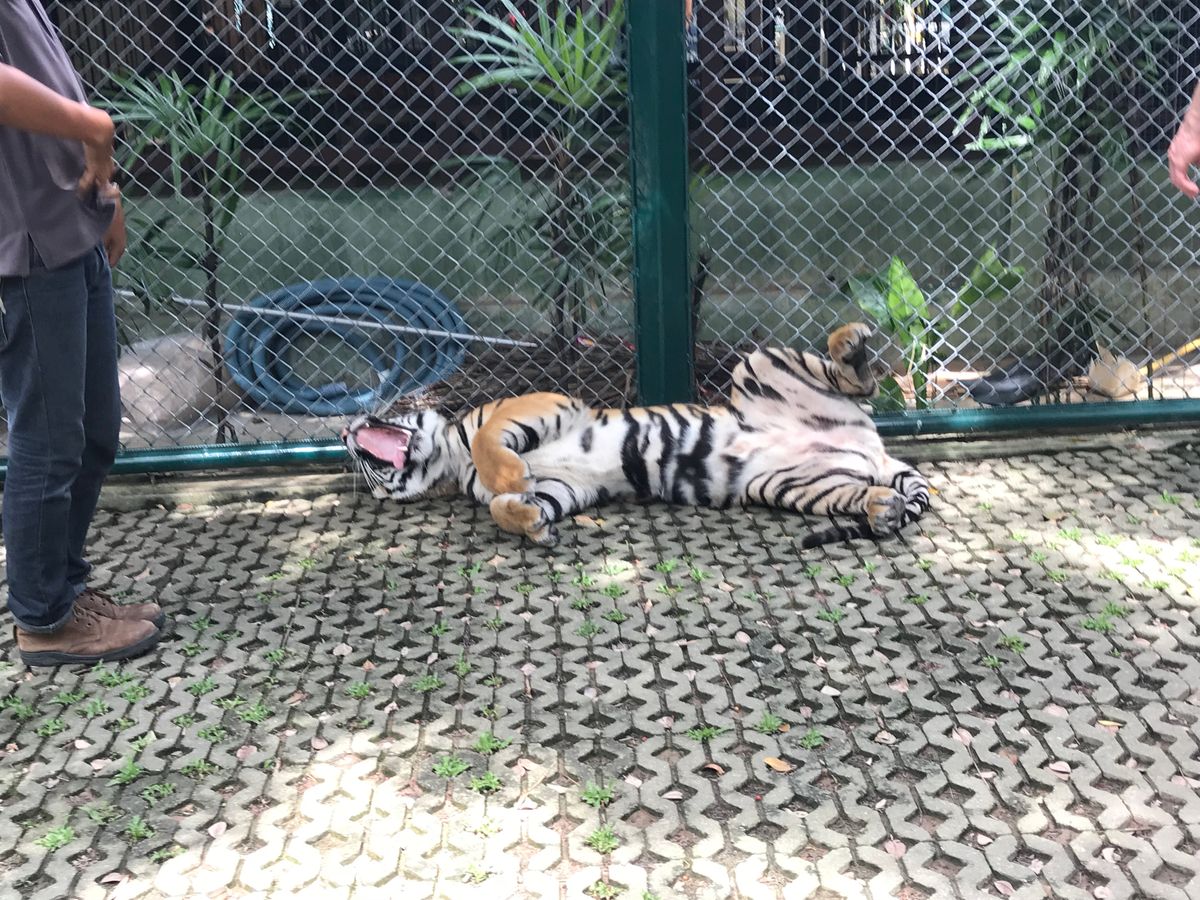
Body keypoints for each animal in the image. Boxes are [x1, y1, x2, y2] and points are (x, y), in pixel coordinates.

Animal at [342, 322, 930, 548]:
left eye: (363, 458)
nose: (346, 429)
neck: (448, 462)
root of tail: (872, 445)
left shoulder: (547, 404)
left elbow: (492, 442)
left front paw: (508, 476)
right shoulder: (567, 486)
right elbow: (507, 507)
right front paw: (530, 520)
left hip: (759, 364)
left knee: (857, 377)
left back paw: (851, 344)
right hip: (794, 484)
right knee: (866, 491)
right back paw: (883, 509)